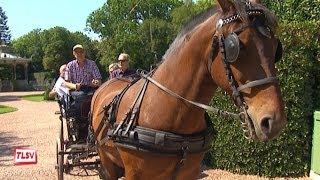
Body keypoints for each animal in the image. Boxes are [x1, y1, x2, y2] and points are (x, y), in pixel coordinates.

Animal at [90, 0, 288, 179]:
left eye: (276, 48)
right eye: (236, 47)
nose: (274, 121)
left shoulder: (189, 173)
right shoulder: (134, 174)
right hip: (107, 162)